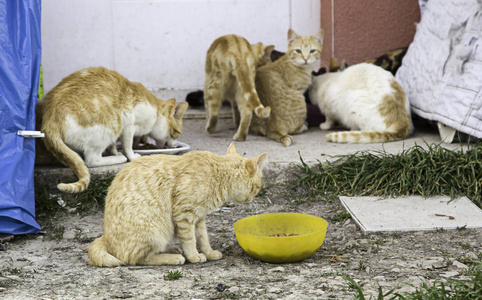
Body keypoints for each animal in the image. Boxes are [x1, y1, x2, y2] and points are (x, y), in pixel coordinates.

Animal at [87, 143, 268, 268]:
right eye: (258, 187)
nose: (253, 198)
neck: (217, 174)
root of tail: (106, 237)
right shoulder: (184, 214)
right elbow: (189, 239)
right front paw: (194, 256)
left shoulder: (199, 218)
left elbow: (203, 237)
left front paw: (209, 252)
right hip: (155, 232)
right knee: (135, 259)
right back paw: (173, 258)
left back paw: (172, 250)